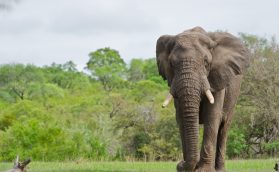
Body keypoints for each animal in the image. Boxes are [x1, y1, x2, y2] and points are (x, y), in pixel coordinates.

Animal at [158, 26, 252, 171]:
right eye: (171, 64)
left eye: (206, 62)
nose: (180, 164)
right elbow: (181, 118)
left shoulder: (218, 78)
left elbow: (212, 117)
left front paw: (204, 170)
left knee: (224, 128)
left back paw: (220, 169)